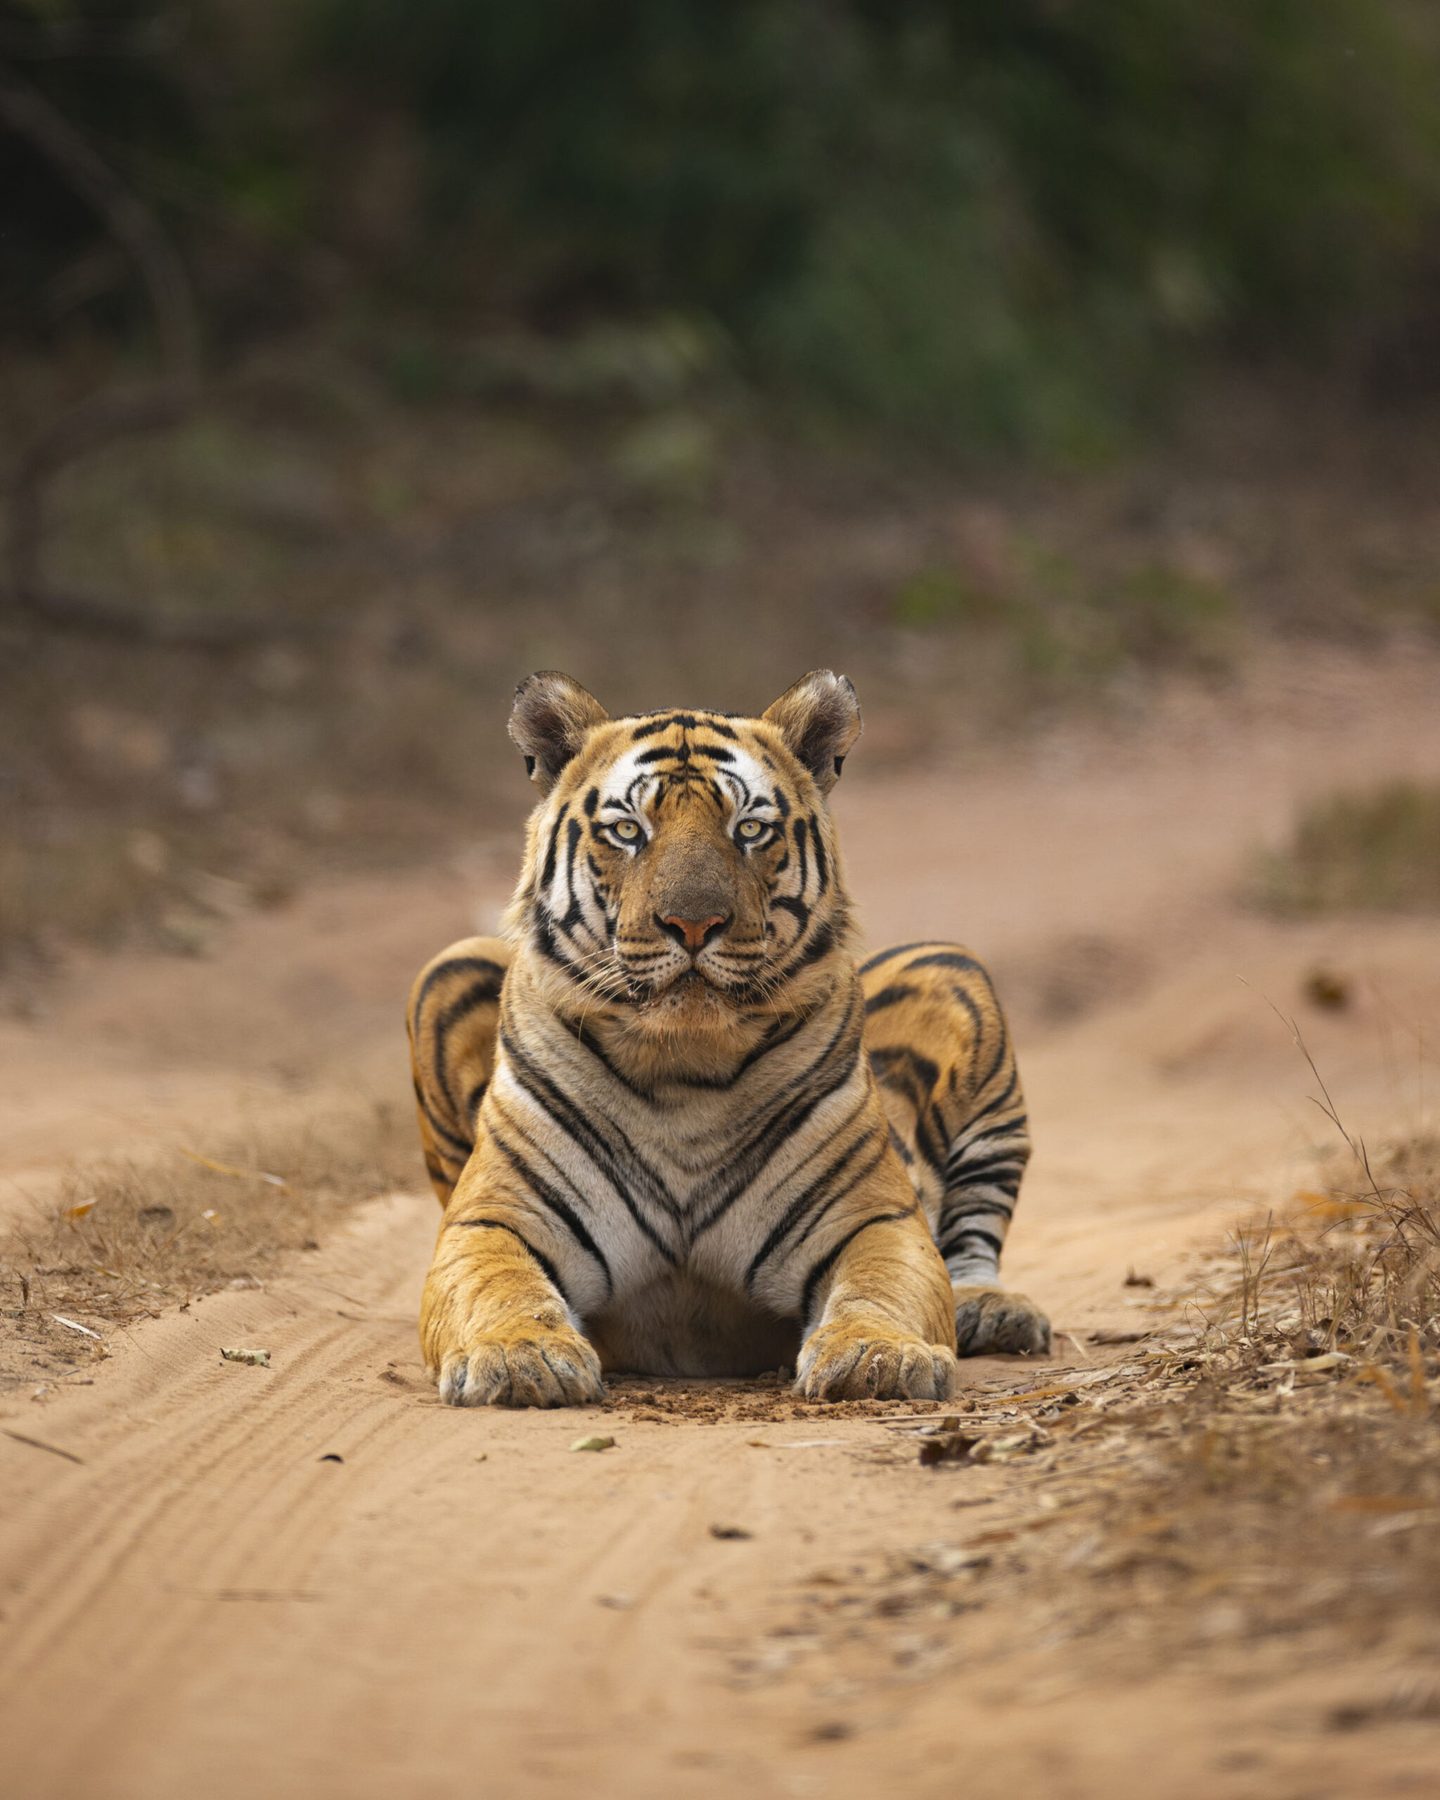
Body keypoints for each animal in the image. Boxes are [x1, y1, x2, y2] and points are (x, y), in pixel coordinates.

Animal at [408, 669, 1049, 1407]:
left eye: (749, 830)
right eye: (627, 830)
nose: (693, 923)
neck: (683, 1063)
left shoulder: (875, 1218)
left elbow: (881, 1286)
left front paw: (877, 1357)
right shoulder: (494, 1217)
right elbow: (498, 1286)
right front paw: (519, 1356)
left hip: (954, 970)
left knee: (972, 1237)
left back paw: (992, 1310)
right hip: (450, 963)